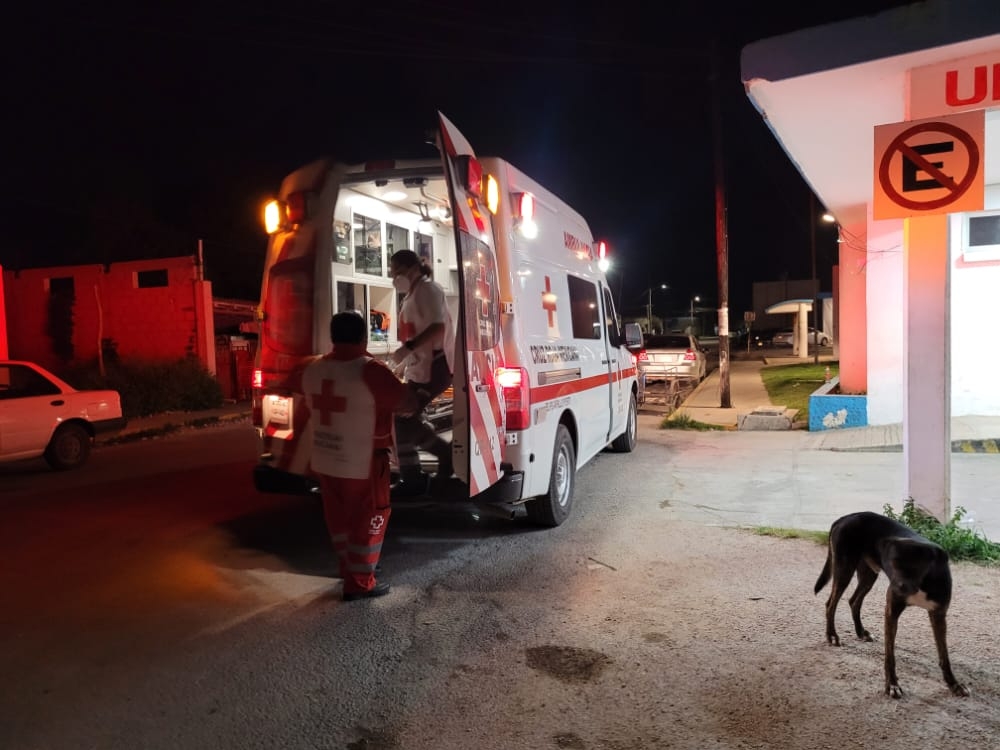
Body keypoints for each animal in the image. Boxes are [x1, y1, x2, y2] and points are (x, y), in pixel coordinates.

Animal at [812, 512, 968, 700]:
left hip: (868, 574)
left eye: (899, 564)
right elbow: (890, 656)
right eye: (890, 563)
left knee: (854, 601)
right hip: (844, 569)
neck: (922, 583)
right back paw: (832, 635)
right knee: (831, 604)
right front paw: (892, 685)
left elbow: (944, 656)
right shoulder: (891, 611)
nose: (892, 589)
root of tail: (845, 517)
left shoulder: (938, 615)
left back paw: (861, 632)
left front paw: (954, 684)